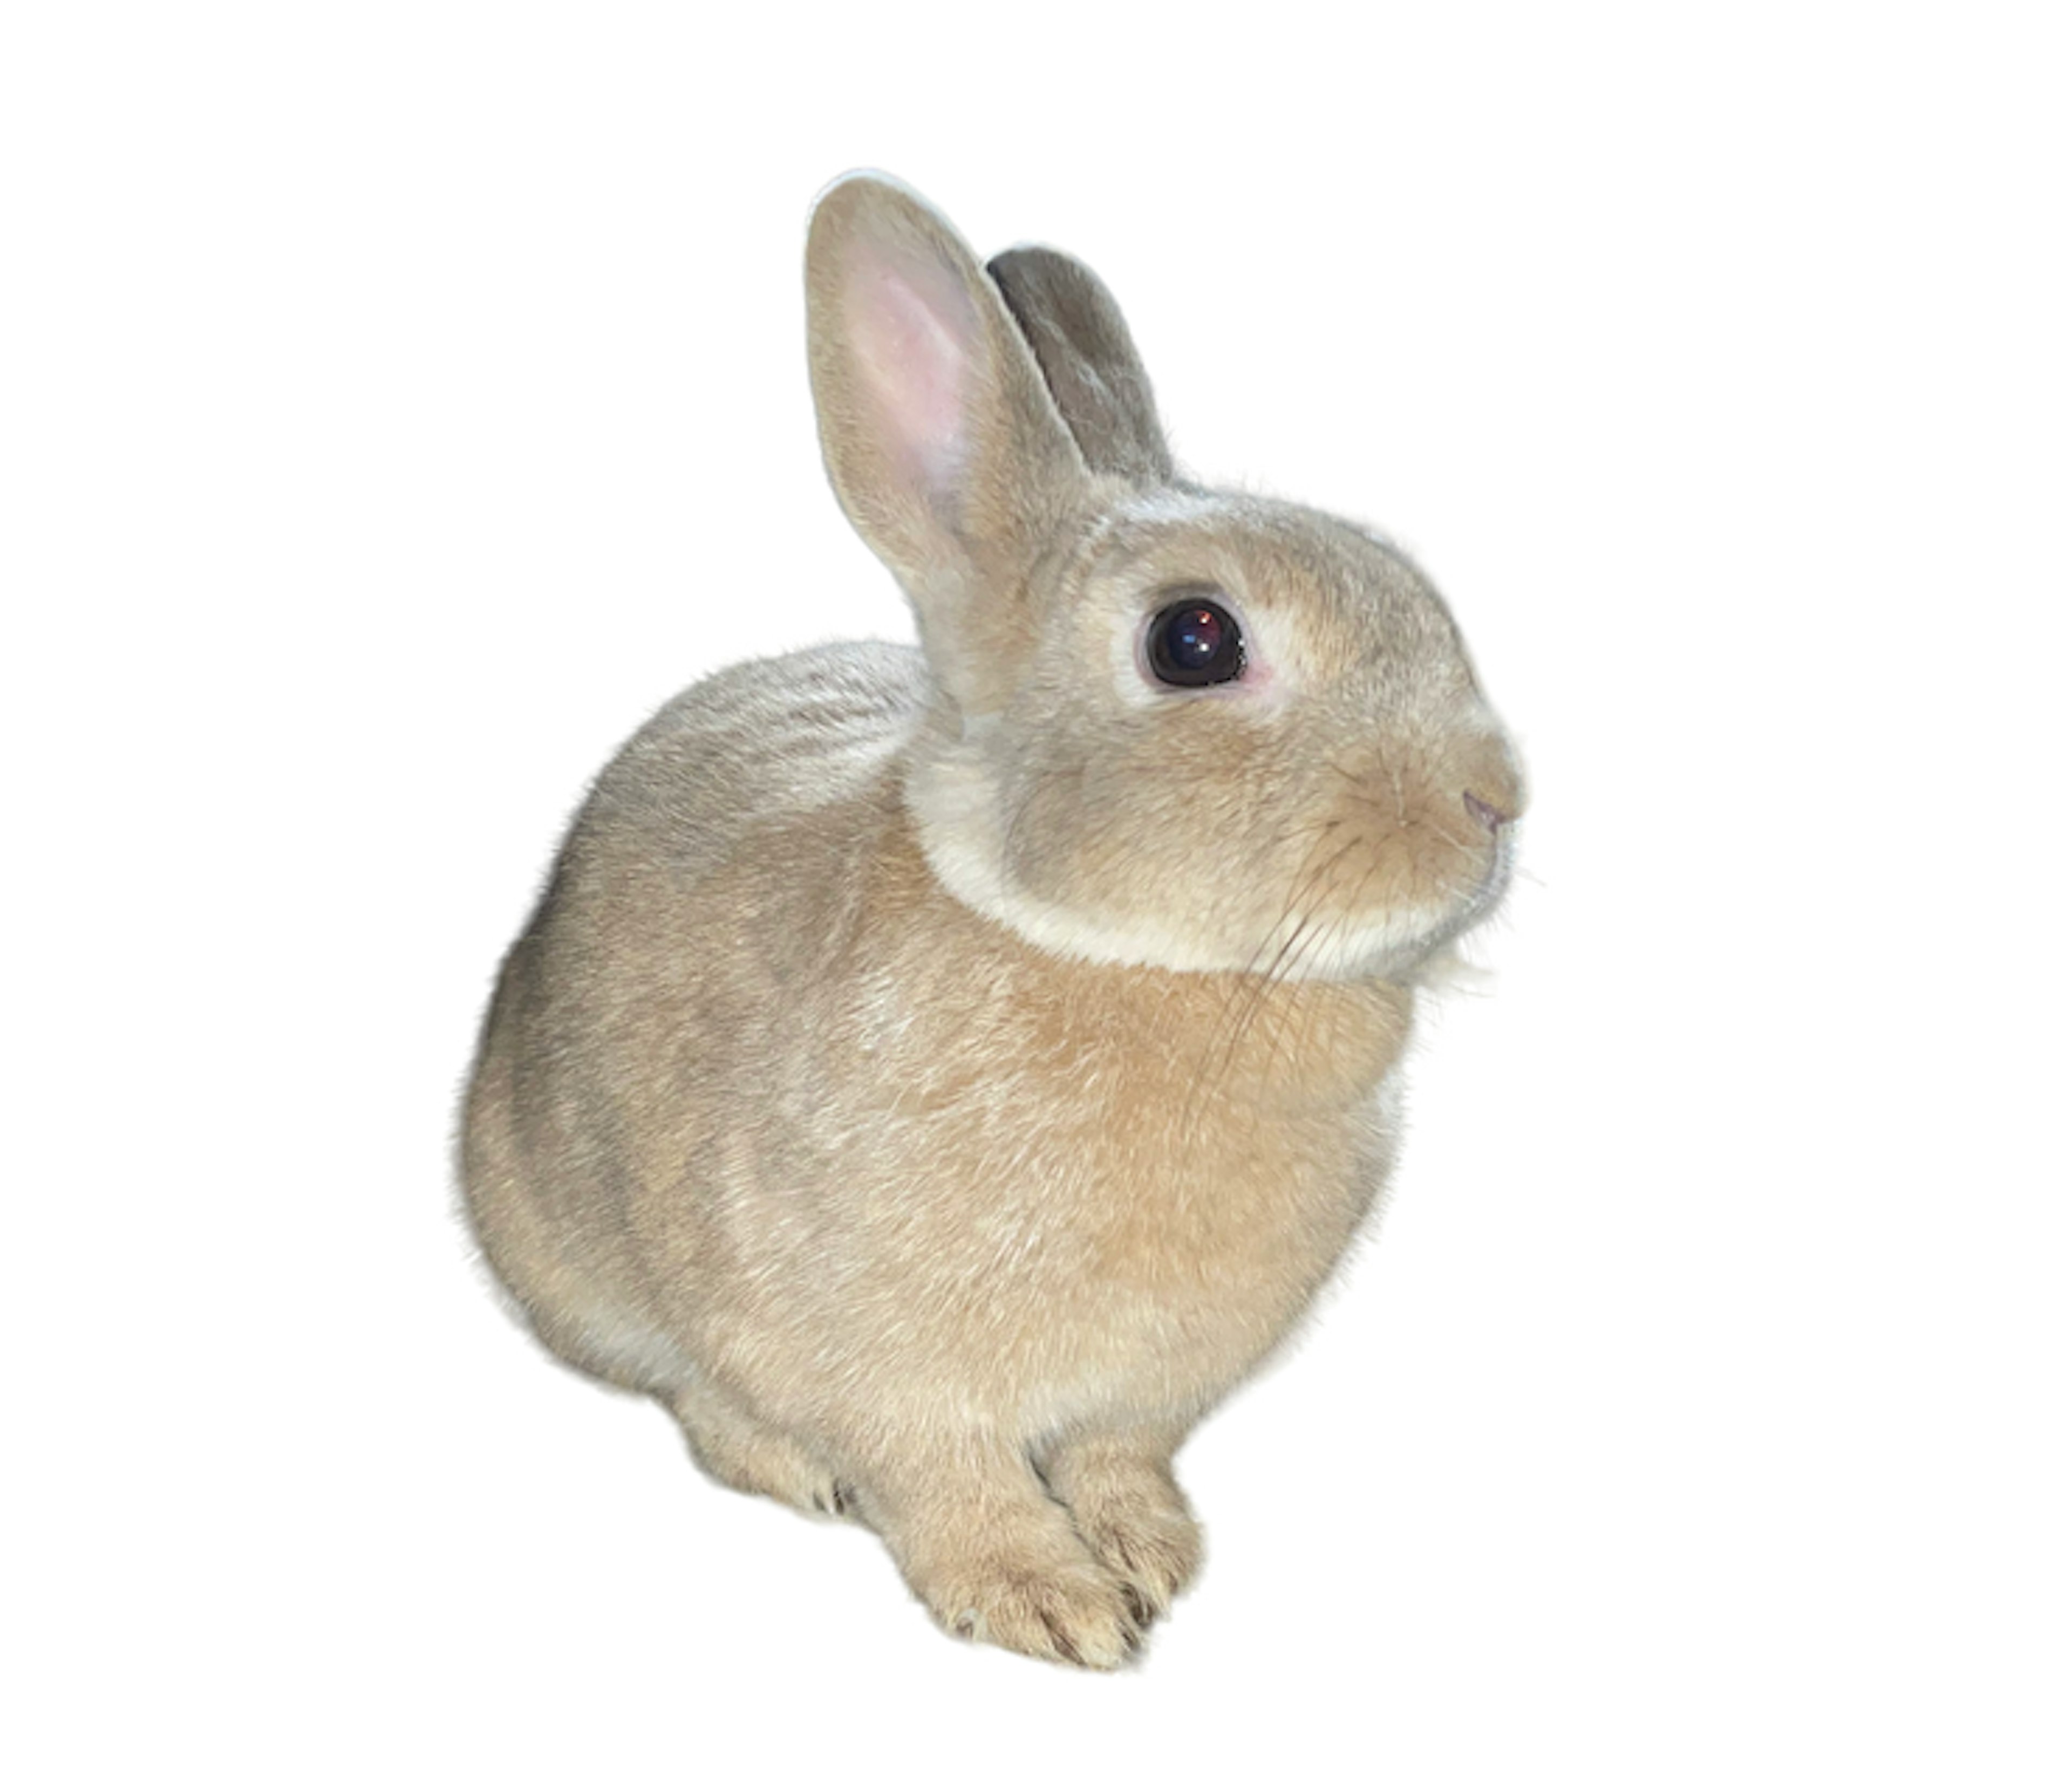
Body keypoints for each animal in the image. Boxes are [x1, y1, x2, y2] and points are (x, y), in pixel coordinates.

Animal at [466, 173, 1525, 1665]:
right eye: (1194, 640)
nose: (1495, 800)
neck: (1107, 950)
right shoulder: (869, 1363)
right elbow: (941, 1477)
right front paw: (1054, 1605)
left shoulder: (1139, 1399)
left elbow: (1113, 1457)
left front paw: (1150, 1552)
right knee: (692, 1399)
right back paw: (795, 1469)